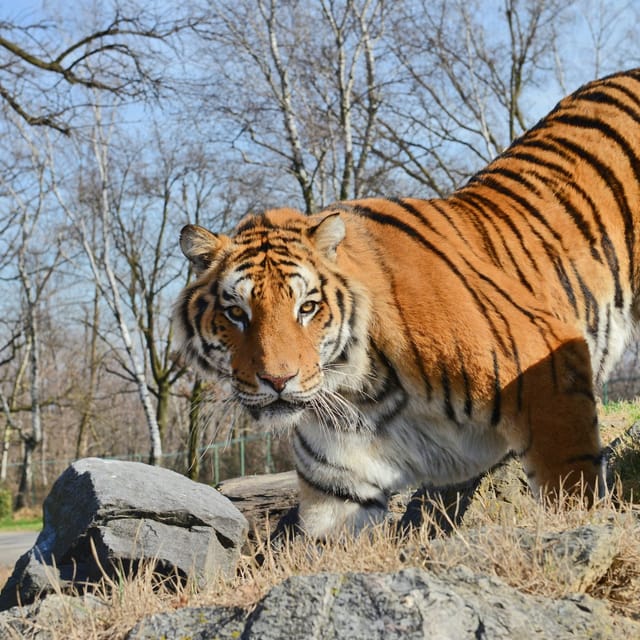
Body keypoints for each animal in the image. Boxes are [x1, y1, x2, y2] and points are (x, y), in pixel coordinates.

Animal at [174, 69, 640, 540]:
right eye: (237, 313)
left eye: (306, 308)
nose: (277, 380)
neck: (363, 393)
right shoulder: (337, 485)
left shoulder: (549, 369)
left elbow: (572, 491)